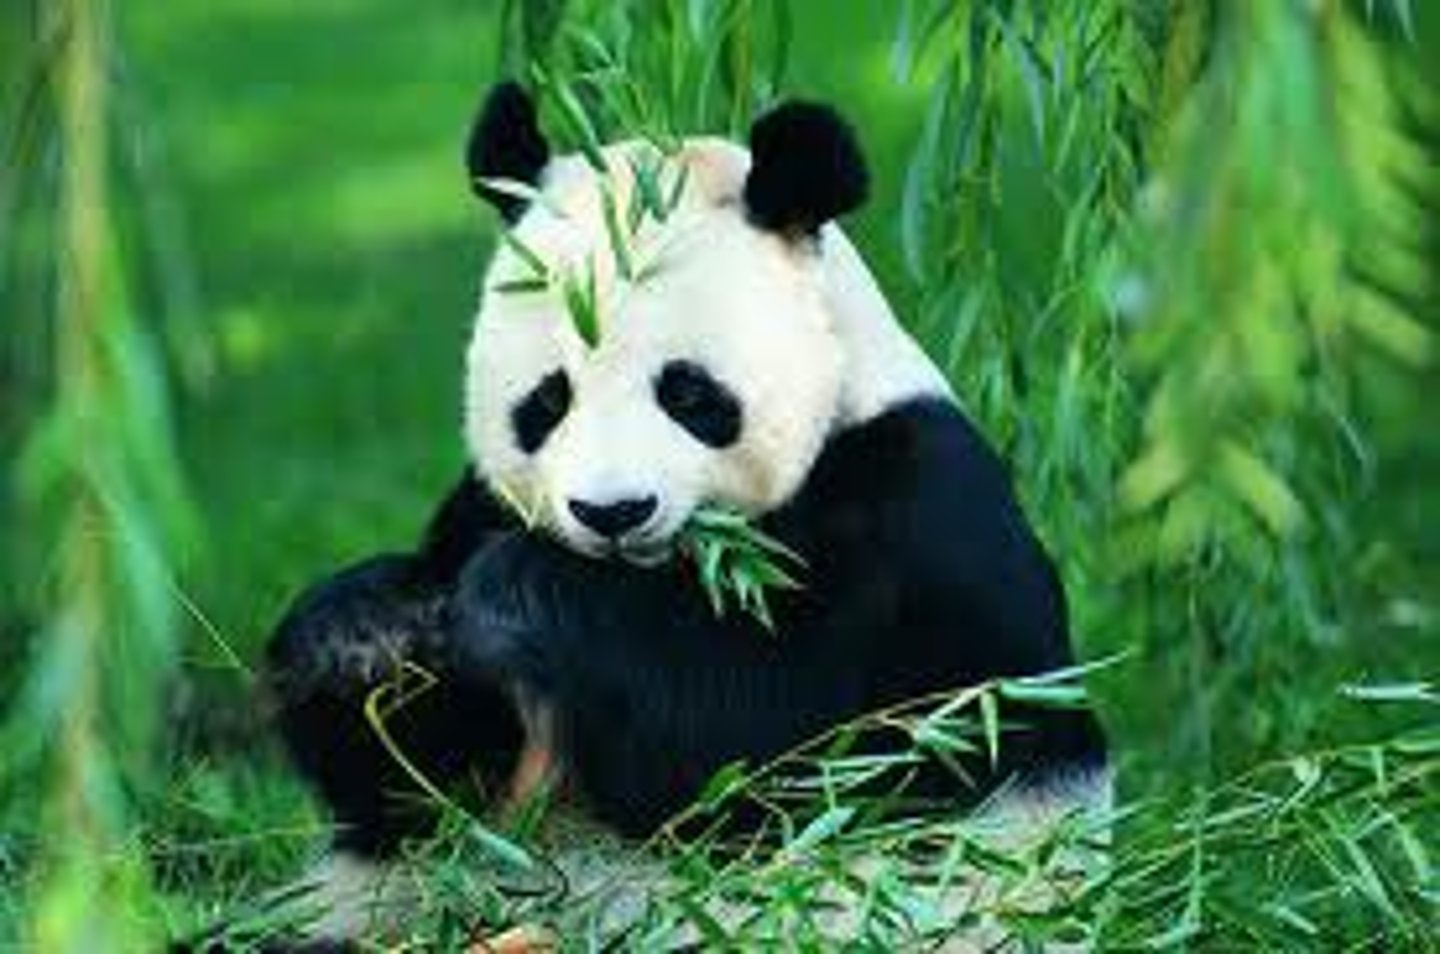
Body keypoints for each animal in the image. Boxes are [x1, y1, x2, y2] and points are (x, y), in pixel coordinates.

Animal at [263, 81, 1105, 946]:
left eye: (689, 394)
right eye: (547, 401)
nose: (613, 512)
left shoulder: (918, 519)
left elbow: (778, 745)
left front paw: (521, 595)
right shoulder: (478, 508)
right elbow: (424, 788)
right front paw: (364, 634)